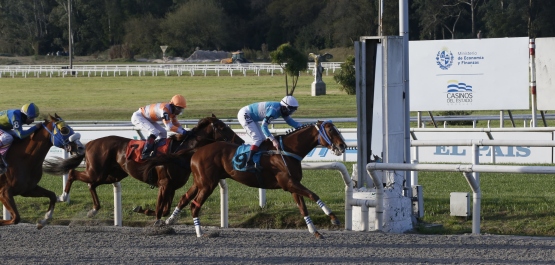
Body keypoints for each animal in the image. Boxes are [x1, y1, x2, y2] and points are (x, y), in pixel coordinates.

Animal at [42, 114, 242, 222]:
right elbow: (161, 209)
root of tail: (90, 143)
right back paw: (63, 196)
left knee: (91, 184)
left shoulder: (171, 187)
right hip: (96, 171)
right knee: (73, 173)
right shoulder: (164, 184)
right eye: (222, 127)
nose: (240, 140)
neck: (181, 151)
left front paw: (142, 210)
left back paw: (93, 209)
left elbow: (165, 209)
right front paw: (154, 220)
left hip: (113, 175)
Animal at [141, 119, 346, 237]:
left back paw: (170, 220)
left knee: (185, 198)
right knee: (194, 204)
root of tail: (198, 149)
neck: (286, 150)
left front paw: (315, 231)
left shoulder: (292, 184)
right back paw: (199, 233)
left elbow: (303, 206)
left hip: (201, 181)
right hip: (208, 183)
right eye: (331, 131)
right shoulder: (288, 182)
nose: (343, 146)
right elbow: (313, 195)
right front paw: (333, 218)